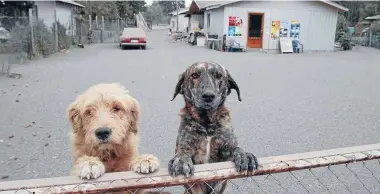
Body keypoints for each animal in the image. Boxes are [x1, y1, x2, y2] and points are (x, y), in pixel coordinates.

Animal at [169, 61, 258, 194]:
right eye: (194, 75)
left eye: (219, 75)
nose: (208, 96)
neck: (207, 123)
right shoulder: (186, 147)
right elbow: (182, 153)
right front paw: (181, 160)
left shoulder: (225, 153)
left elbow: (235, 149)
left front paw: (244, 155)